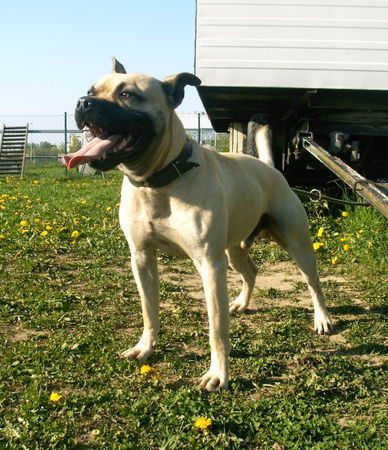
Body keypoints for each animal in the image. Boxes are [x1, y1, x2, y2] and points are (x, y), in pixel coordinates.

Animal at [63, 59, 334, 390]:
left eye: (127, 94)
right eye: (91, 91)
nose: (83, 102)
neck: (158, 180)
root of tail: (270, 169)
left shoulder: (209, 265)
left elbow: (217, 328)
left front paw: (218, 374)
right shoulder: (141, 258)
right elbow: (149, 311)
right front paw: (145, 348)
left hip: (297, 244)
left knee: (313, 282)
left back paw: (322, 319)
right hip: (233, 251)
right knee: (251, 271)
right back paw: (241, 303)